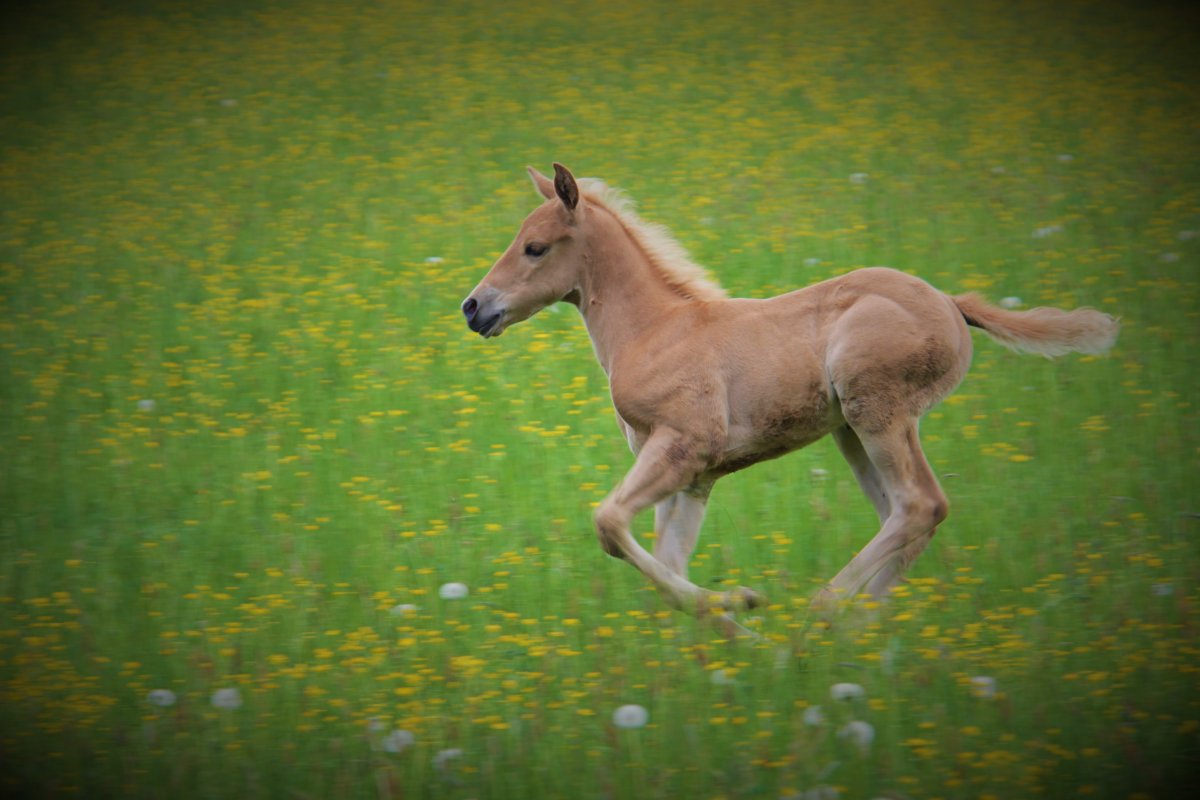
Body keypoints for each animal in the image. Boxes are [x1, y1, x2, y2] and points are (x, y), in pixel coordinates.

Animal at [460, 163, 1113, 623]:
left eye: (536, 247)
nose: (473, 307)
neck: (654, 329)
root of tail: (953, 305)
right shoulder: (694, 474)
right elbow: (666, 560)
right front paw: (726, 629)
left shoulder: (684, 445)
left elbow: (610, 524)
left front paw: (743, 606)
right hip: (853, 432)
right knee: (905, 516)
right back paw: (855, 629)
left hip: (877, 412)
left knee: (921, 505)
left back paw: (822, 614)